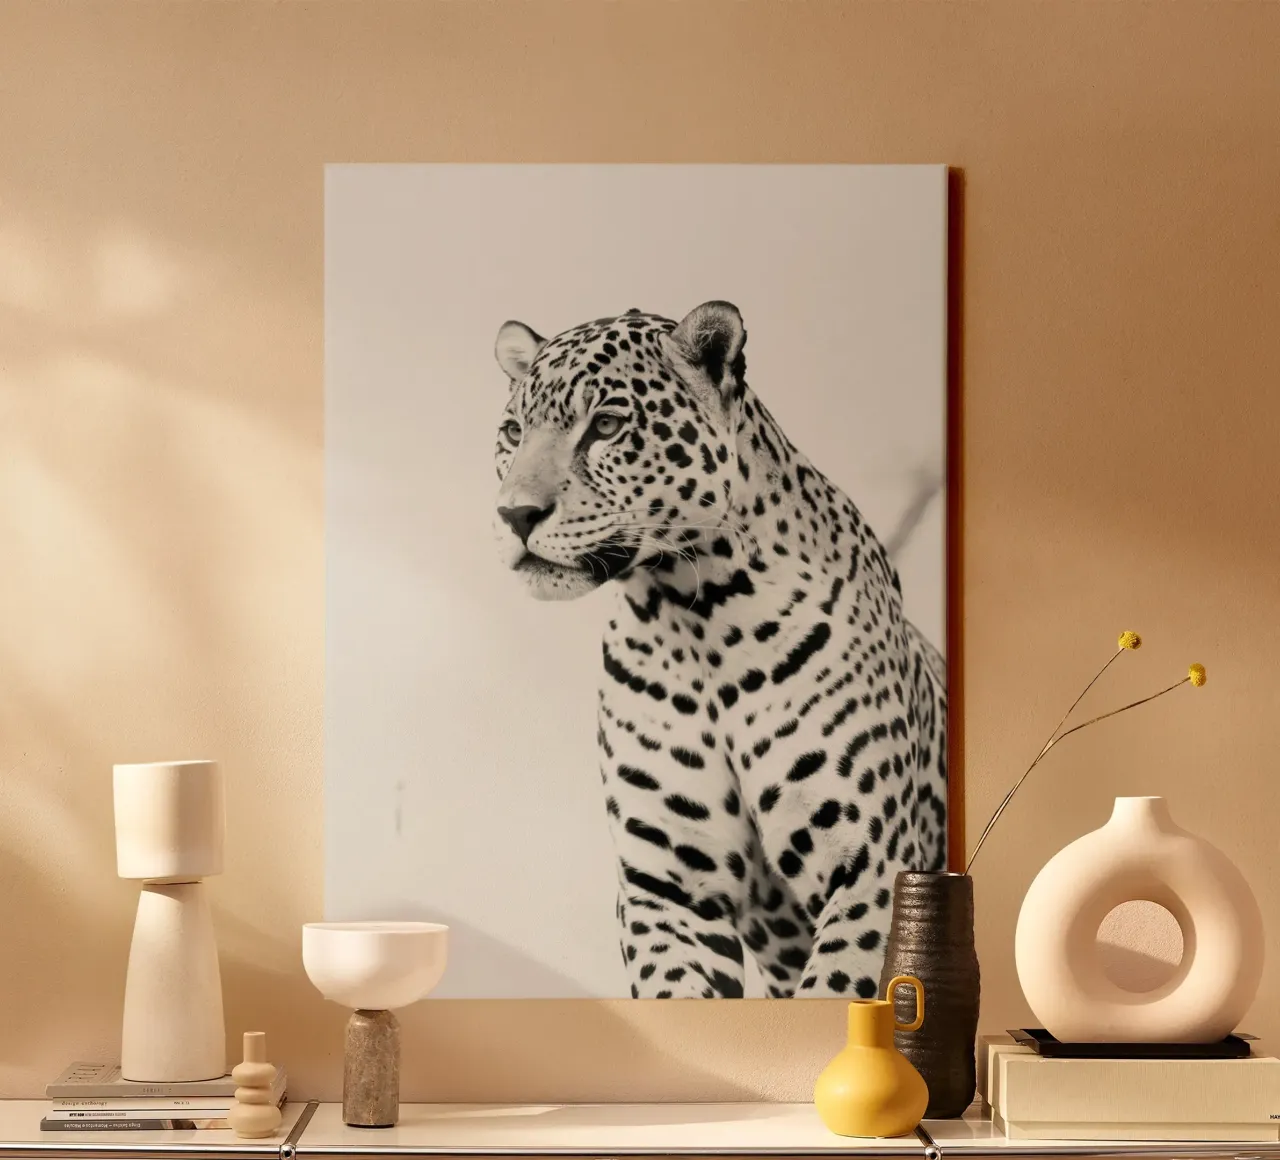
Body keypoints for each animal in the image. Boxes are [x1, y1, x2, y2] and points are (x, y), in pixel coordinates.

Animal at [490, 300, 947, 998]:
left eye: (606, 425)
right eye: (513, 432)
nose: (515, 515)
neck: (694, 616)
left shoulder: (870, 866)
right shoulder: (668, 887)